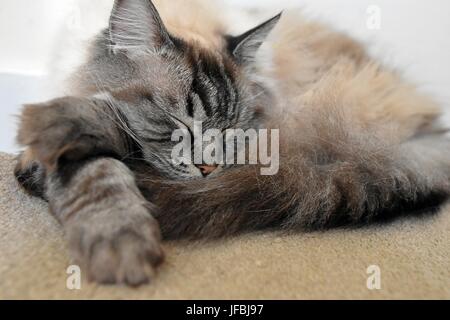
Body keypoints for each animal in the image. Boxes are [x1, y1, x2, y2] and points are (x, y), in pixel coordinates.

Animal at [13, 0, 450, 284]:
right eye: (180, 126)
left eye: (230, 133)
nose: (208, 168)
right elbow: (96, 174)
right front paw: (119, 245)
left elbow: (108, 135)